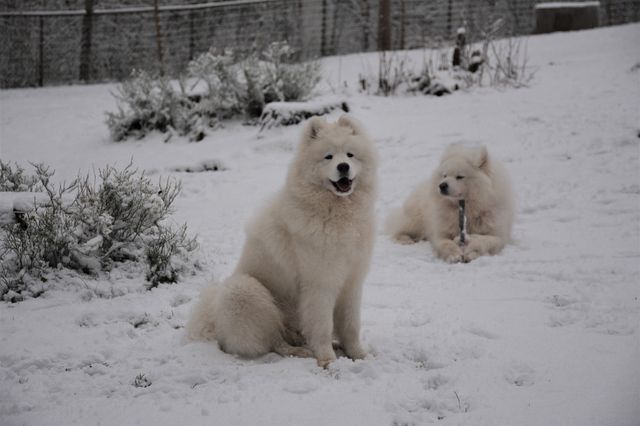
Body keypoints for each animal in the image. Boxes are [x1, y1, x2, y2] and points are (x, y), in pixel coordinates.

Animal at [384, 144, 516, 262]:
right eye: (445, 175)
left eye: (460, 176)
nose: (442, 185)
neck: (467, 210)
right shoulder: (440, 232)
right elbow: (445, 243)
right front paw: (454, 255)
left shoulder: (498, 233)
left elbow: (484, 240)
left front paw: (471, 252)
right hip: (415, 219)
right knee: (398, 229)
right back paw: (405, 239)